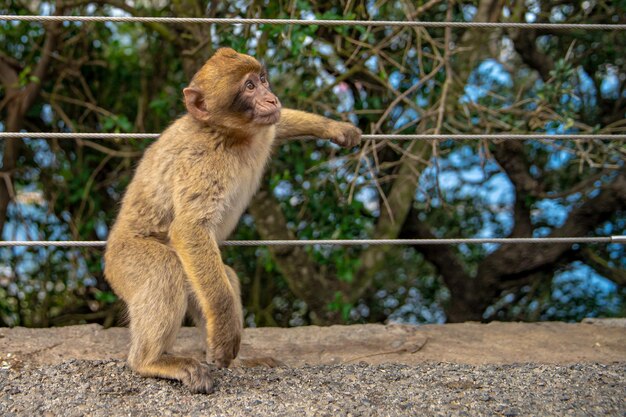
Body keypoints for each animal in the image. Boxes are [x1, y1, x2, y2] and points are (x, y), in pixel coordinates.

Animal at [101, 47, 356, 392]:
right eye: (248, 87)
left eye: (262, 79)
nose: (271, 98)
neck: (228, 134)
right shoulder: (202, 161)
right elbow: (190, 229)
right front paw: (224, 334)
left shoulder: (263, 129)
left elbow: (279, 124)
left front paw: (335, 128)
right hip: (125, 261)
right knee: (166, 269)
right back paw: (151, 361)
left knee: (226, 277)